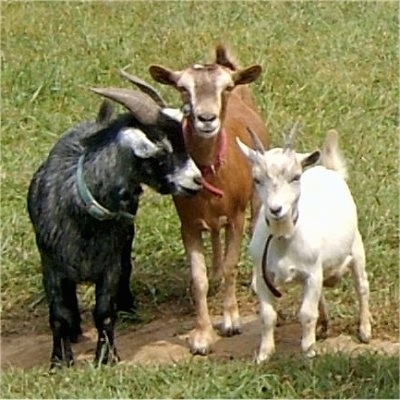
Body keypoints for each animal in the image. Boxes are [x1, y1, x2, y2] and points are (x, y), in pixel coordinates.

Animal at [27, 85, 202, 368]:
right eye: (162, 150)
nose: (197, 180)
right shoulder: (51, 264)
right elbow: (59, 315)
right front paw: (60, 360)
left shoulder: (109, 264)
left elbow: (104, 313)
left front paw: (106, 357)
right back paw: (75, 330)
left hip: (126, 237)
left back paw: (128, 306)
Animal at [150, 45, 268, 354]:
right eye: (183, 88)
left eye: (225, 87)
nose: (206, 119)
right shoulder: (188, 224)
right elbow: (198, 279)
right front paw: (202, 336)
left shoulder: (237, 216)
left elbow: (231, 264)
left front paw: (230, 321)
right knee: (215, 234)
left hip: (257, 196)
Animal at [238, 126, 372, 362]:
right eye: (256, 179)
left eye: (295, 177)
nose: (276, 209)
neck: (283, 237)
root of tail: (330, 171)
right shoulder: (264, 276)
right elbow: (267, 315)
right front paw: (264, 354)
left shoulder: (312, 273)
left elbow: (307, 314)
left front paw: (308, 352)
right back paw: (325, 325)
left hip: (356, 247)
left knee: (362, 286)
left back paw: (364, 330)